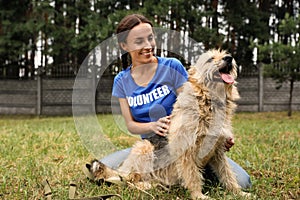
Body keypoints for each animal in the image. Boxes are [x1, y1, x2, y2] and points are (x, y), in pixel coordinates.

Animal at [88, 49, 250, 199]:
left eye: (225, 55)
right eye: (210, 59)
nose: (229, 58)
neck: (208, 101)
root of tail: (123, 168)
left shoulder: (217, 152)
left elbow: (227, 173)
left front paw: (238, 192)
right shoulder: (186, 152)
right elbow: (193, 176)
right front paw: (198, 195)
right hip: (144, 148)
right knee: (130, 180)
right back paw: (146, 186)